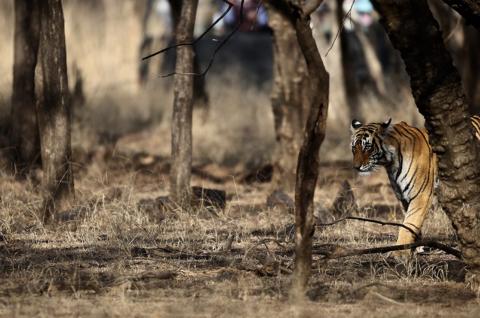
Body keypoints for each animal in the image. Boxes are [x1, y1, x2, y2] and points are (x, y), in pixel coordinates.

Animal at [348, 115, 480, 252]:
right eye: (354, 148)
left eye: (367, 147)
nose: (356, 167)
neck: (391, 163)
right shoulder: (403, 195)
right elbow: (411, 223)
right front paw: (418, 247)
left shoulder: (421, 194)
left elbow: (410, 222)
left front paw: (401, 251)